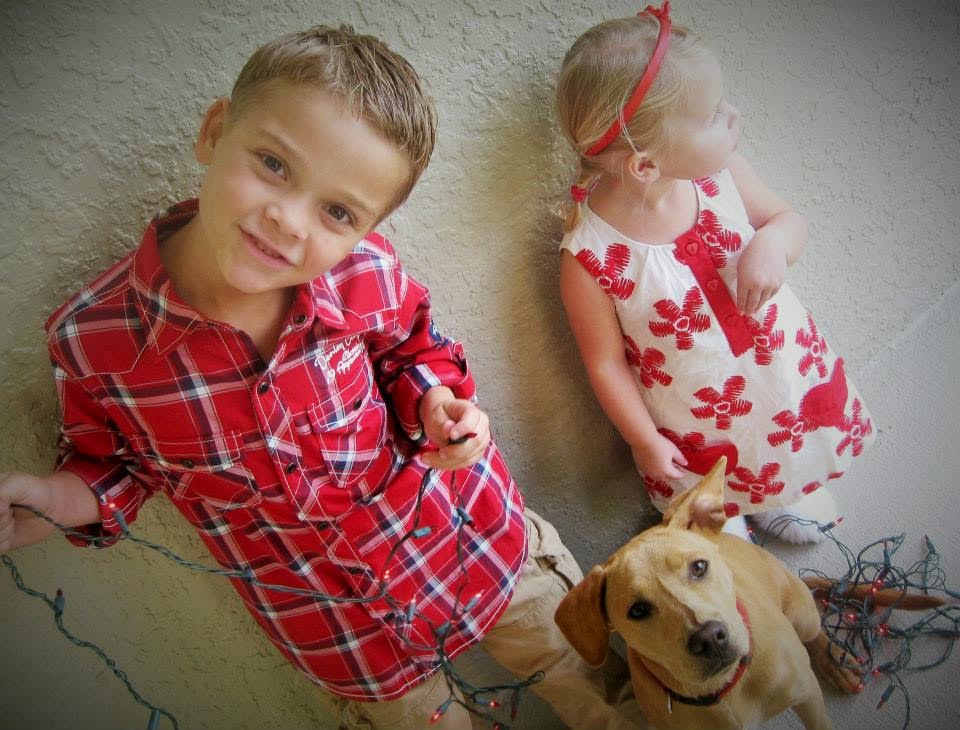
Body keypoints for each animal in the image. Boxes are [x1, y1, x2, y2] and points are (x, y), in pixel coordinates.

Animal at [555, 458, 833, 729]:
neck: (726, 690)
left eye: (699, 567)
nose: (710, 638)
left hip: (804, 618)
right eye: (638, 610)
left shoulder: (808, 695)